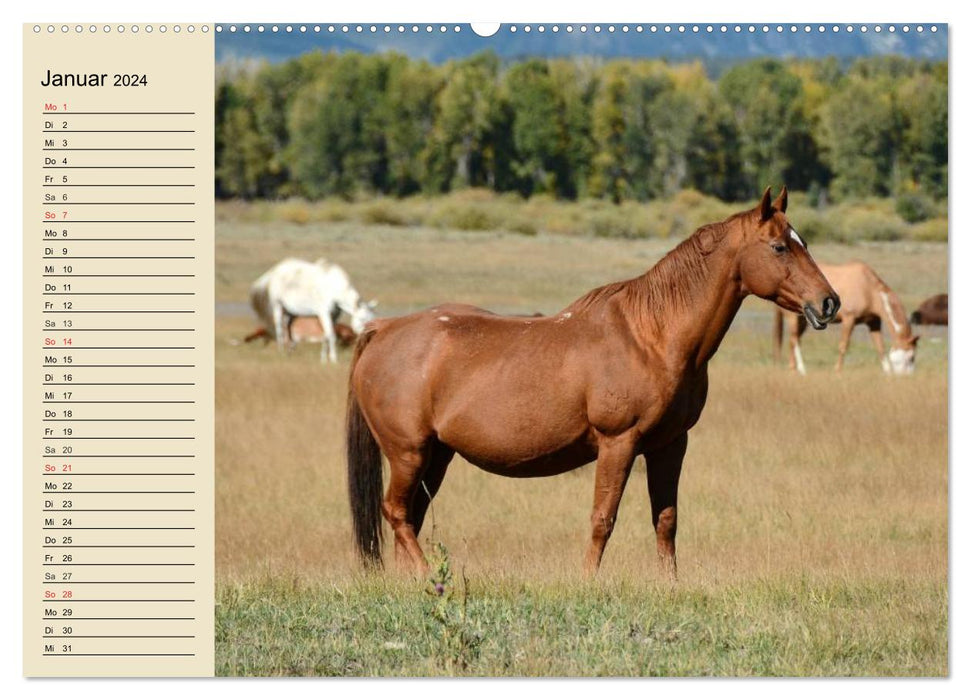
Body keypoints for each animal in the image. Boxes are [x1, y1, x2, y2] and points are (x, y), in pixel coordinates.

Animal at [346, 186, 840, 576]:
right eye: (779, 247)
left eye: (803, 242)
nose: (829, 303)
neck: (650, 336)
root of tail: (383, 329)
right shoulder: (617, 443)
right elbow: (603, 518)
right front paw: (587, 580)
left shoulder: (670, 444)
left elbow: (666, 519)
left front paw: (671, 584)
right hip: (409, 453)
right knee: (397, 512)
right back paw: (429, 577)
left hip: (437, 455)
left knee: (410, 515)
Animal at [776, 260, 920, 374]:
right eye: (911, 357)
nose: (906, 376)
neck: (868, 288)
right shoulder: (849, 319)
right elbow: (843, 346)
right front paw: (838, 371)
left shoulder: (874, 322)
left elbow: (880, 347)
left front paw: (887, 373)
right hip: (794, 318)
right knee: (794, 339)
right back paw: (801, 369)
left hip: (804, 320)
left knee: (794, 339)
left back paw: (793, 368)